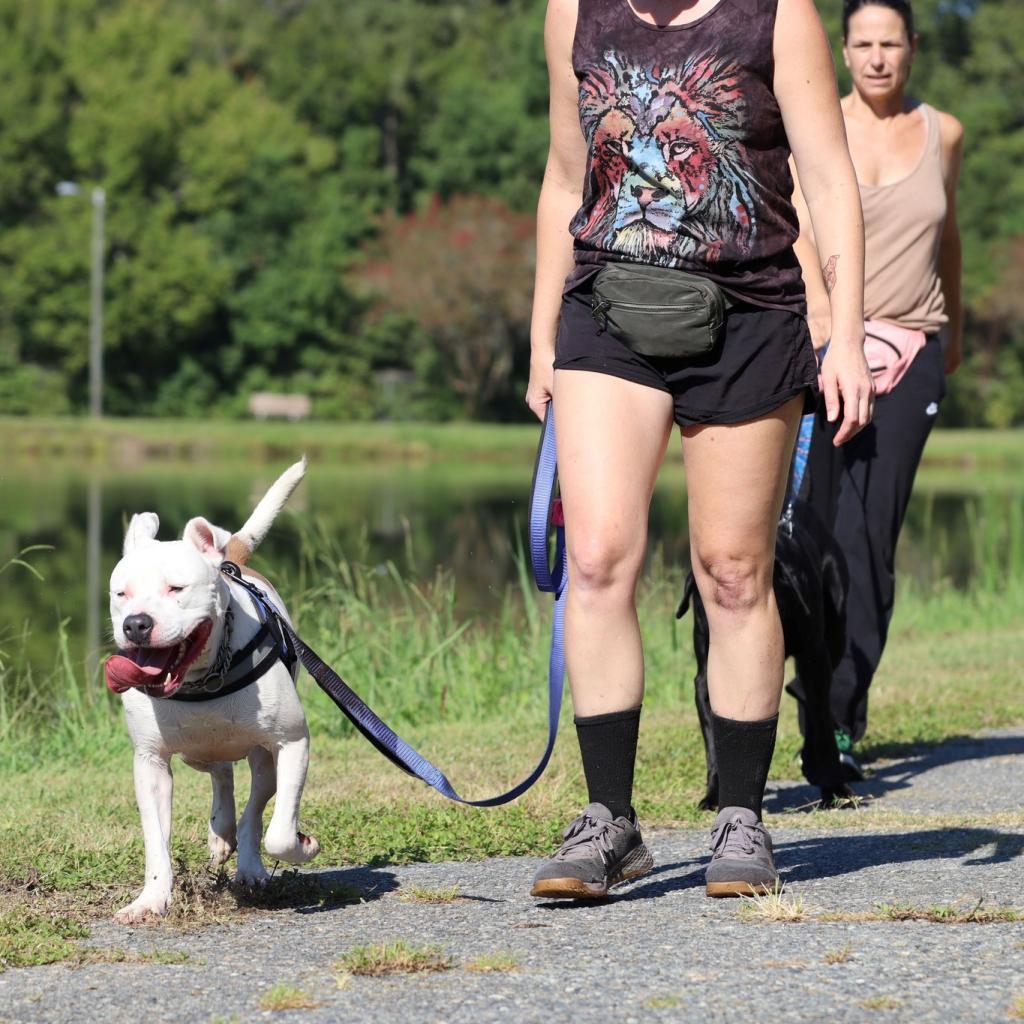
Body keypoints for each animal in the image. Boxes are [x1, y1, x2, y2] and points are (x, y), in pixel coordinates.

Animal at [105, 460, 317, 925]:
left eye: (176, 589)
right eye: (121, 594)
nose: (136, 623)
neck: (202, 678)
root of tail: (229, 560)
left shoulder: (291, 742)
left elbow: (277, 830)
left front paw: (300, 846)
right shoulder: (150, 763)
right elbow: (155, 841)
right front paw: (151, 898)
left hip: (261, 755)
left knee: (255, 802)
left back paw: (248, 866)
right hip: (194, 750)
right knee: (221, 773)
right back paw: (220, 832)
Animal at [675, 495, 851, 806]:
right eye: (702, 601)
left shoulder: (814, 659)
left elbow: (821, 722)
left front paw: (834, 787)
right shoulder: (705, 681)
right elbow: (715, 741)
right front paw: (714, 793)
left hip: (835, 634)